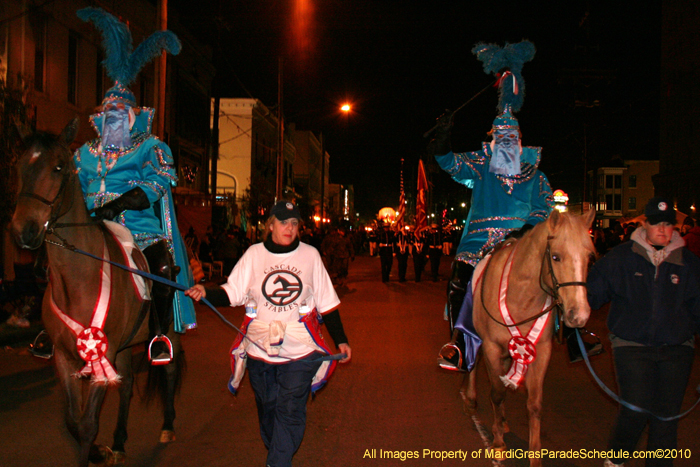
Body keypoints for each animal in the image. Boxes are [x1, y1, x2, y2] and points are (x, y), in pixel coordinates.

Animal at [9, 119, 182, 467]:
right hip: (125, 345)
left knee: (168, 369)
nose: (24, 231)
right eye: (20, 166)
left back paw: (167, 426)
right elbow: (73, 421)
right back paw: (118, 442)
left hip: (165, 327)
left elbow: (88, 424)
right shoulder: (65, 358)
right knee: (126, 386)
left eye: (59, 166)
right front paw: (100, 451)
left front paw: (94, 450)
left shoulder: (103, 350)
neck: (78, 278)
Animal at [462, 209, 592, 467]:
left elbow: (534, 404)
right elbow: (497, 393)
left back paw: (502, 421)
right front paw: (498, 444)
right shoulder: (492, 347)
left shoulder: (540, 351)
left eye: (589, 256)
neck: (520, 296)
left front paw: (535, 456)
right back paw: (472, 399)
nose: (579, 315)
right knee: (474, 363)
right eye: (555, 257)